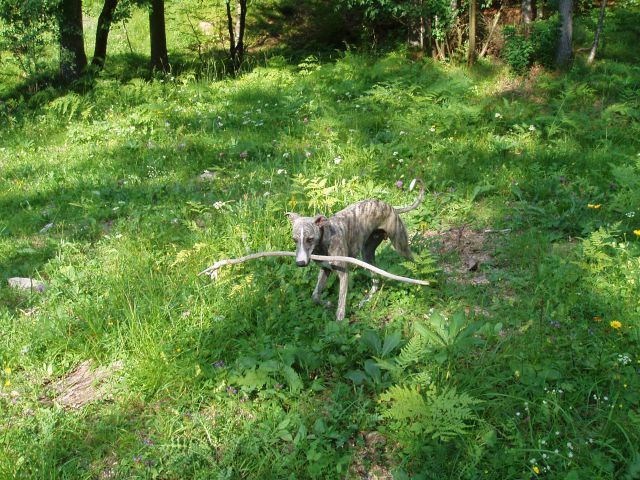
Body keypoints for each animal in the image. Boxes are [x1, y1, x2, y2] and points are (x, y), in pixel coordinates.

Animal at [288, 178, 422, 320]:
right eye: (294, 240)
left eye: (310, 239)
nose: (300, 263)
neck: (325, 241)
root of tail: (392, 207)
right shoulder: (325, 270)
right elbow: (315, 296)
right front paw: (327, 303)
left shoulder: (343, 274)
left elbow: (341, 307)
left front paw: (339, 322)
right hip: (367, 256)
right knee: (376, 281)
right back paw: (366, 300)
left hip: (400, 247)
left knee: (415, 261)